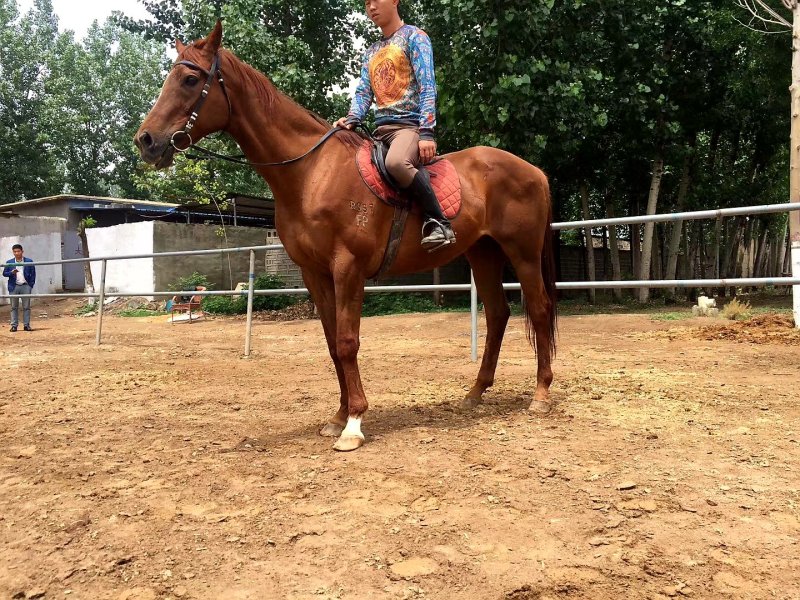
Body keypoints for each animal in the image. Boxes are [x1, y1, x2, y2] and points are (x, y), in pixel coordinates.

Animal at [135, 22, 558, 452]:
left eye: (190, 79)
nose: (146, 141)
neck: (311, 173)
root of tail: (534, 171)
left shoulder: (348, 268)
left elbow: (347, 341)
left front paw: (354, 423)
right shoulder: (314, 273)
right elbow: (331, 342)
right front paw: (338, 417)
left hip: (522, 253)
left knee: (539, 310)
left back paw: (540, 395)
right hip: (483, 254)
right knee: (498, 314)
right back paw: (475, 392)